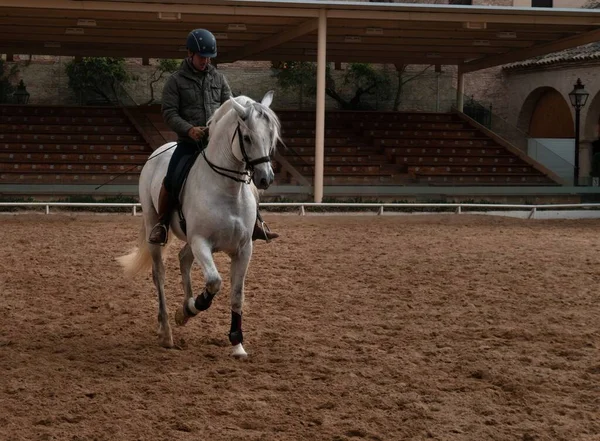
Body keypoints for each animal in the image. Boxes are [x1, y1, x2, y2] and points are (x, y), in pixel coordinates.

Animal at [118, 90, 282, 358]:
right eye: (247, 138)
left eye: (271, 136)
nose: (265, 178)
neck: (228, 189)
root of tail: (160, 150)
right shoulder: (201, 242)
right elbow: (214, 283)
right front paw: (191, 309)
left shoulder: (244, 249)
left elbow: (237, 295)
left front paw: (237, 344)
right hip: (155, 227)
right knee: (159, 274)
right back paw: (167, 330)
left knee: (184, 259)